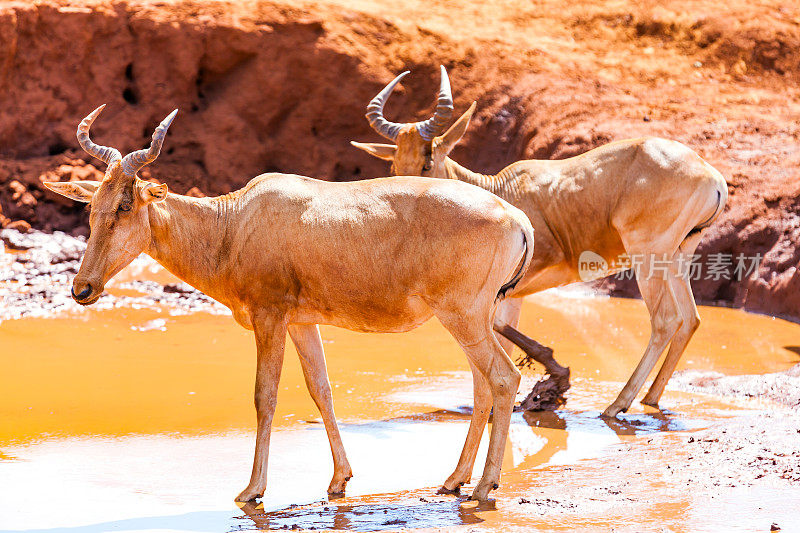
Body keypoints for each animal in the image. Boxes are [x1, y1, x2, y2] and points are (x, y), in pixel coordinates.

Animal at [43, 106, 536, 500]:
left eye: (125, 205)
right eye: (92, 206)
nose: (82, 289)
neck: (234, 221)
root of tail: (516, 218)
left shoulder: (270, 318)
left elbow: (266, 395)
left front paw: (252, 490)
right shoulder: (302, 323)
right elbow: (322, 390)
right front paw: (339, 480)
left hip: (462, 316)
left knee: (503, 378)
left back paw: (485, 487)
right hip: (473, 319)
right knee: (483, 385)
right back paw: (454, 480)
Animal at [354, 67, 728, 420]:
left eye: (427, 161)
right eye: (394, 165)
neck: (502, 190)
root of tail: (711, 175)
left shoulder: (504, 291)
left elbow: (499, 330)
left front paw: (551, 384)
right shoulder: (507, 294)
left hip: (648, 256)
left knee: (666, 320)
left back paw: (616, 405)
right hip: (677, 256)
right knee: (690, 317)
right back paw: (649, 399)